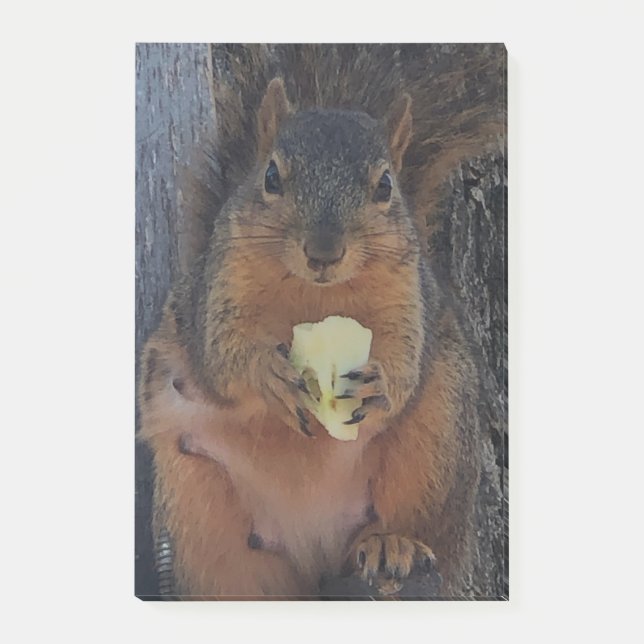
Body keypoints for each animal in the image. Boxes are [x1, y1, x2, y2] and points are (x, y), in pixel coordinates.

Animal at [138, 44, 504, 599]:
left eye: (385, 185)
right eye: (271, 177)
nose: (324, 252)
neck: (315, 296)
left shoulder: (409, 297)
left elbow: (404, 357)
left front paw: (380, 382)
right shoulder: (216, 291)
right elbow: (222, 355)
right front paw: (267, 373)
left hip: (437, 443)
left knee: (414, 520)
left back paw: (391, 544)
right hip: (196, 502)